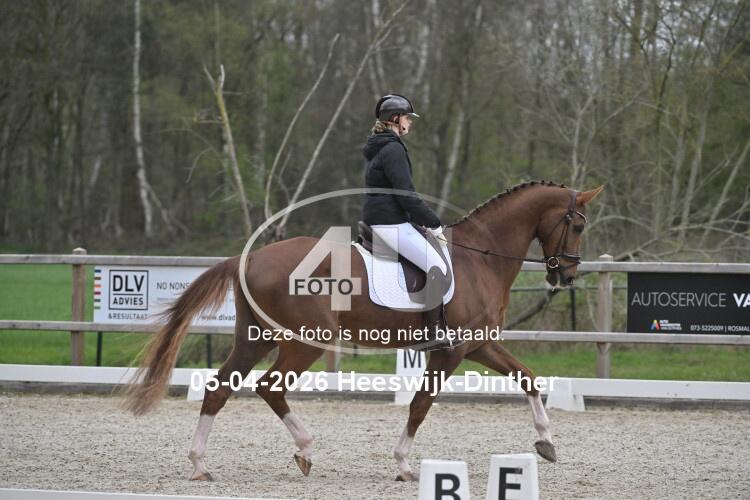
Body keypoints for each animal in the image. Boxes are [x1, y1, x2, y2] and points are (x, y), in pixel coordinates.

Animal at [120, 180, 603, 481]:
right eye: (578, 225)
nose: (567, 276)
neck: (479, 257)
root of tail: (252, 256)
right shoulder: (449, 352)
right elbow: (420, 405)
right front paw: (404, 465)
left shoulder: (479, 346)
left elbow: (529, 378)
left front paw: (546, 443)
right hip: (305, 342)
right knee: (270, 387)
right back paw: (305, 450)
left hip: (252, 338)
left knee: (220, 387)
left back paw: (200, 464)